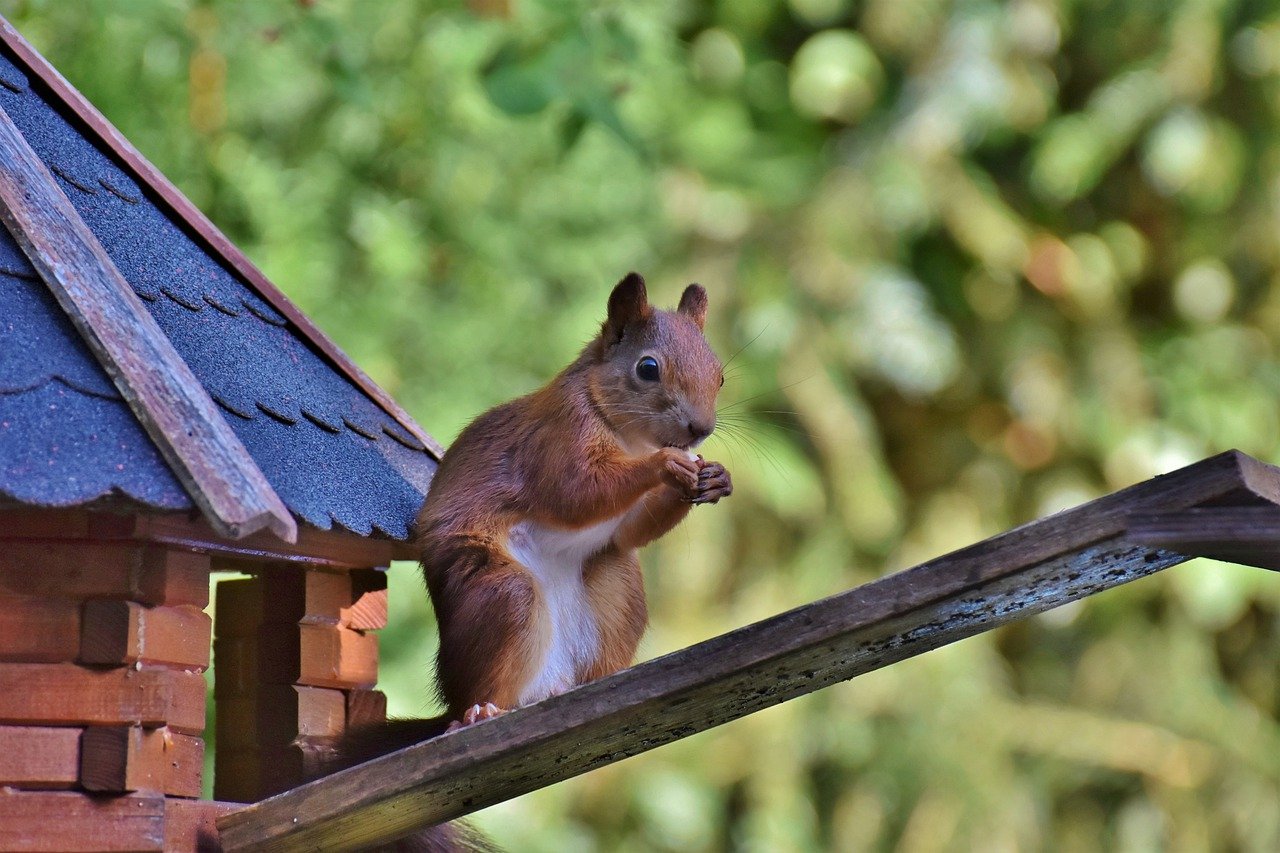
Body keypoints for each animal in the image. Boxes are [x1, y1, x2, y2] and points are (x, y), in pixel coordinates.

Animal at [327, 273, 731, 849]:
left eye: (720, 373)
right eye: (647, 368)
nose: (699, 429)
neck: (626, 432)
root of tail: (541, 688)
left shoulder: (621, 522)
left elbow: (630, 529)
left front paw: (714, 477)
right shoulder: (556, 438)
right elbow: (577, 491)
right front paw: (666, 464)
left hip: (615, 584)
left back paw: (596, 682)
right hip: (498, 592)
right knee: (483, 674)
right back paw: (478, 713)